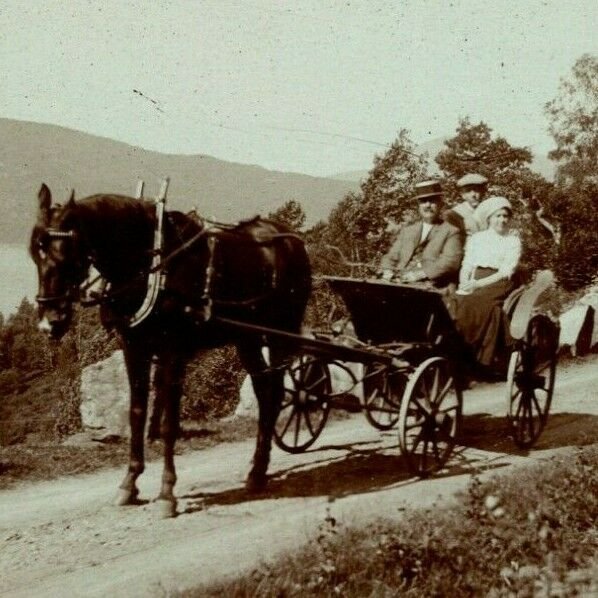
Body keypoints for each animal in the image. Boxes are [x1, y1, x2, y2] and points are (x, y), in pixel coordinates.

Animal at [29, 185, 312, 516]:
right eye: (34, 254)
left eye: (67, 253)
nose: (50, 322)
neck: (152, 266)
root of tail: (292, 238)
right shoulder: (134, 348)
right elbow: (137, 414)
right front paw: (129, 484)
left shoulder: (173, 351)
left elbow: (167, 423)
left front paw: (166, 493)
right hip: (248, 339)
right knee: (265, 392)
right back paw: (257, 470)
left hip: (281, 332)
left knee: (276, 391)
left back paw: (258, 469)